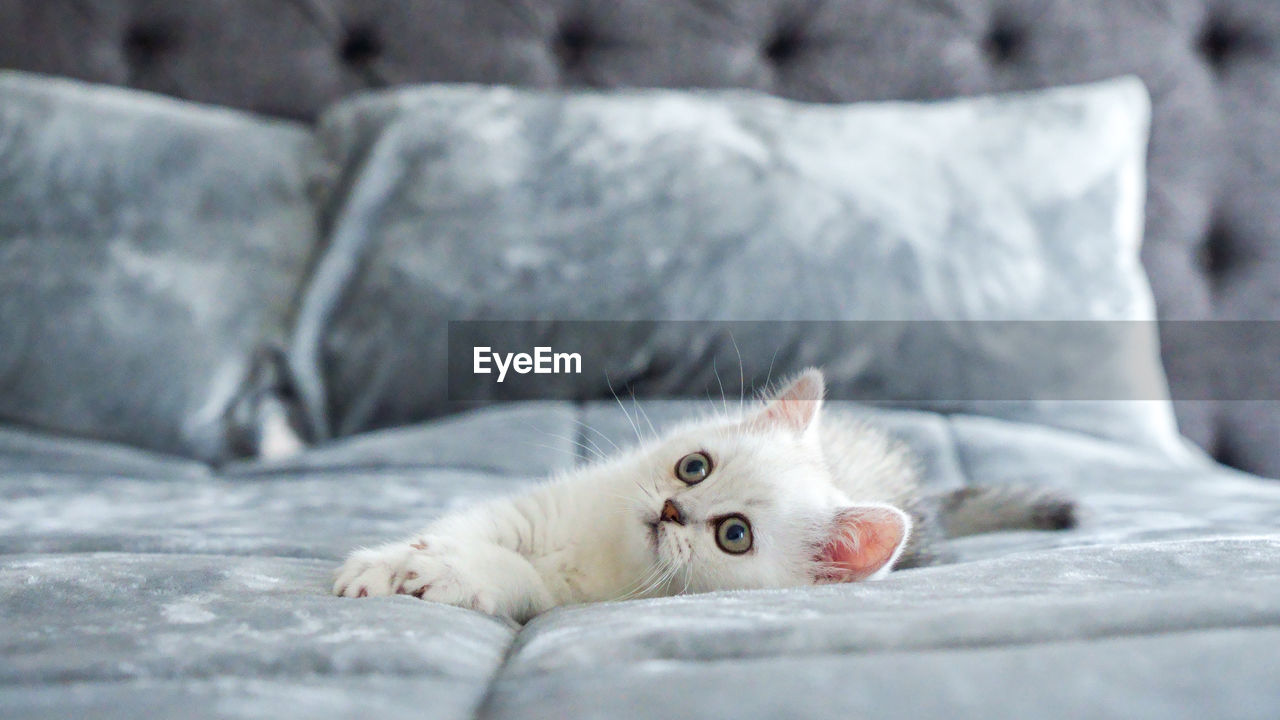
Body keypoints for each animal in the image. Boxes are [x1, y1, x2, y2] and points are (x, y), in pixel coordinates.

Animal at [332, 366, 1070, 620]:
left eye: (733, 534)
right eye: (694, 467)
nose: (671, 509)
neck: (608, 548)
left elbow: (513, 575)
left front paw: (444, 574)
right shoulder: (537, 506)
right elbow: (469, 527)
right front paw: (389, 564)